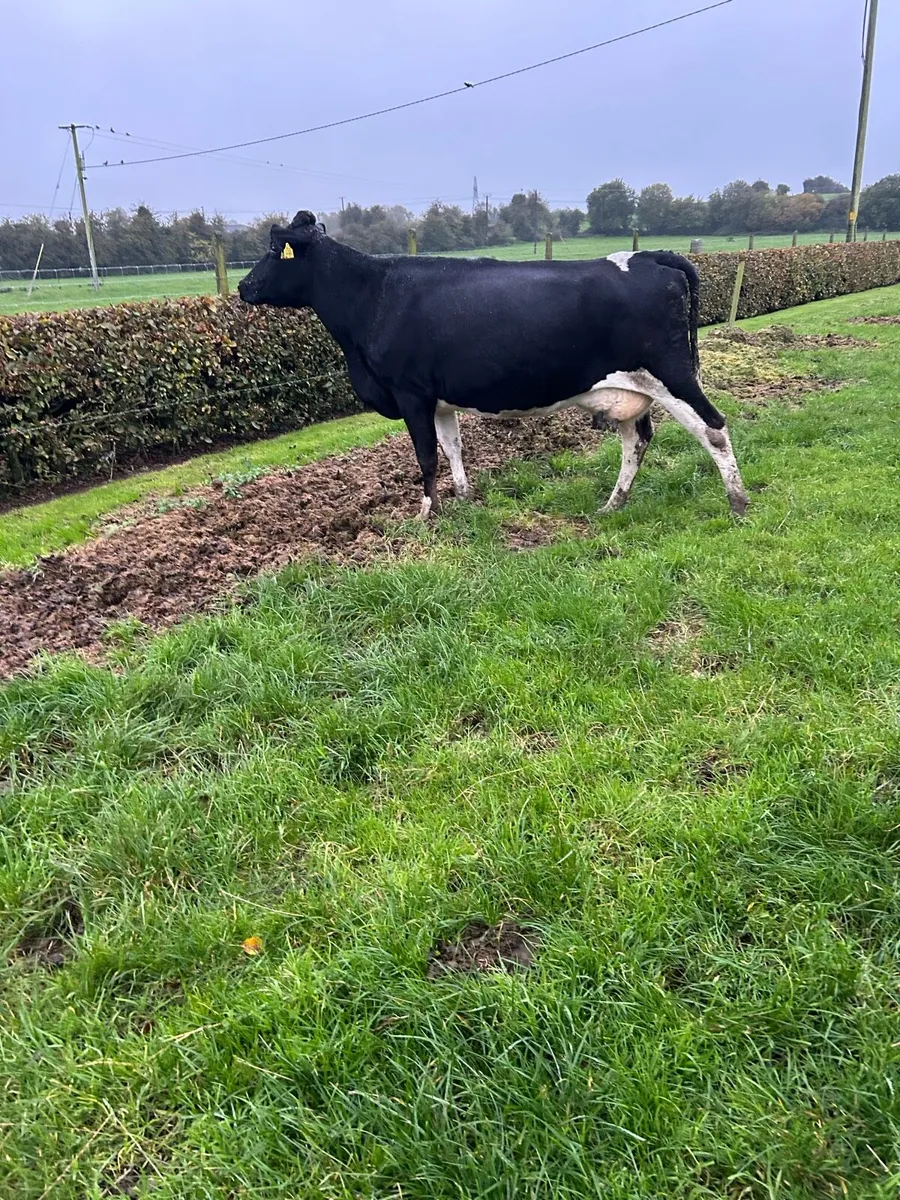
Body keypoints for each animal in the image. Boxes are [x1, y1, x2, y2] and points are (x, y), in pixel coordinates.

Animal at [238, 211, 748, 519]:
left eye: (273, 250)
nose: (244, 286)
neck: (373, 293)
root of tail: (647, 256)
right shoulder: (438, 399)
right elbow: (452, 447)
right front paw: (464, 498)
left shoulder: (410, 392)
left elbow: (425, 455)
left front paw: (426, 513)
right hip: (631, 388)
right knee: (637, 440)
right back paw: (612, 505)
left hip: (671, 372)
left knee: (713, 427)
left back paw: (737, 501)